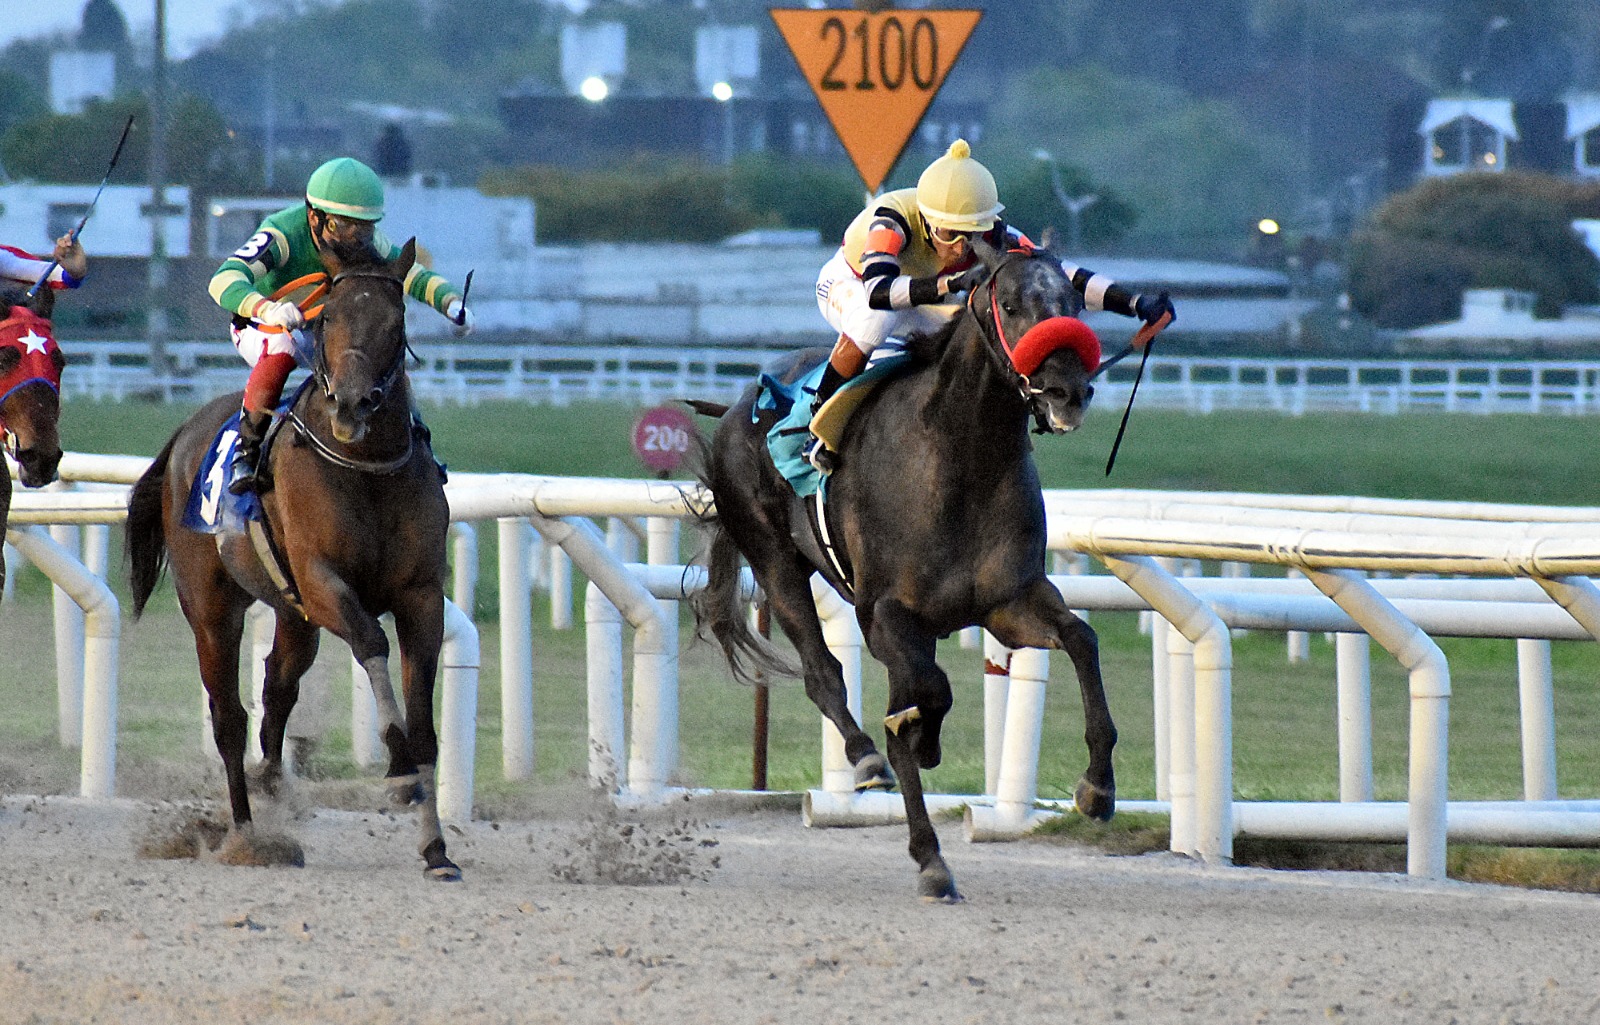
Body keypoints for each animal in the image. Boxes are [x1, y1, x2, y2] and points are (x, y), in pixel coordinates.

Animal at [126, 236, 457, 876]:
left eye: (397, 320)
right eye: (328, 318)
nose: (352, 405)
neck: (366, 468)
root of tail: (183, 433)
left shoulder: (421, 596)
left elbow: (426, 722)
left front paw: (436, 850)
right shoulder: (323, 582)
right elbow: (372, 645)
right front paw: (400, 773)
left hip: (292, 614)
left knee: (278, 689)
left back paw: (275, 787)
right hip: (212, 610)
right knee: (230, 719)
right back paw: (248, 833)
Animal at [694, 238, 1120, 895]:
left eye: (1074, 301)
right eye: (1011, 302)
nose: (1068, 391)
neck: (958, 460)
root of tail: (741, 404)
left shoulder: (1009, 600)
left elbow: (1081, 639)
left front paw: (1097, 787)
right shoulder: (886, 614)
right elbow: (926, 694)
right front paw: (918, 767)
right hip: (775, 562)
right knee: (824, 676)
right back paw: (873, 764)